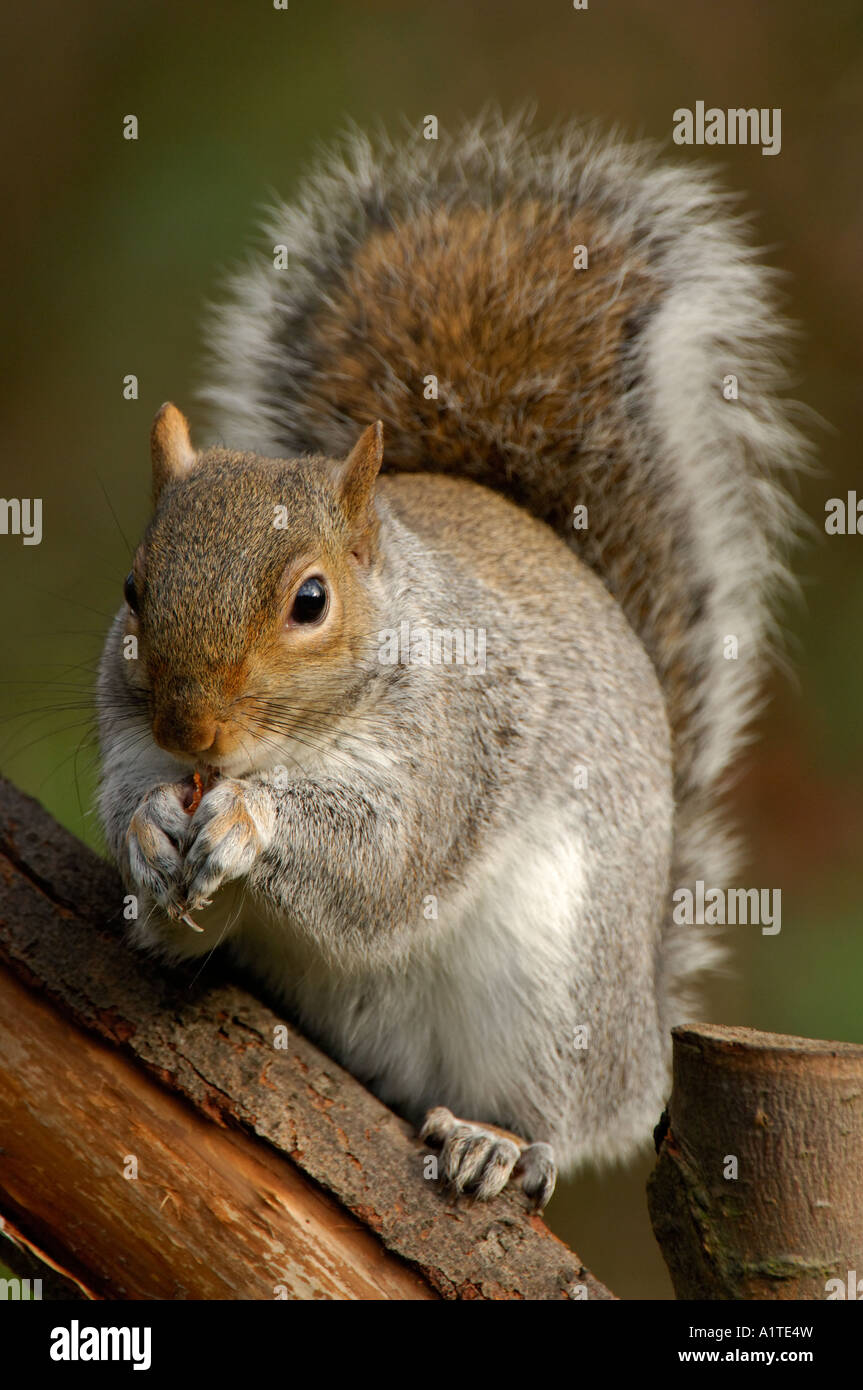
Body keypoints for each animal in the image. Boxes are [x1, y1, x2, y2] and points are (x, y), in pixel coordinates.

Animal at [99, 116, 800, 1206]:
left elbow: (383, 866)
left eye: (310, 601)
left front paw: (254, 821)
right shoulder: (132, 748)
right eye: (134, 588)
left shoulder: (454, 743)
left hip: (555, 986)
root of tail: (642, 1031)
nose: (190, 729)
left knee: (559, 1112)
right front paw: (142, 832)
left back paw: (497, 1139)